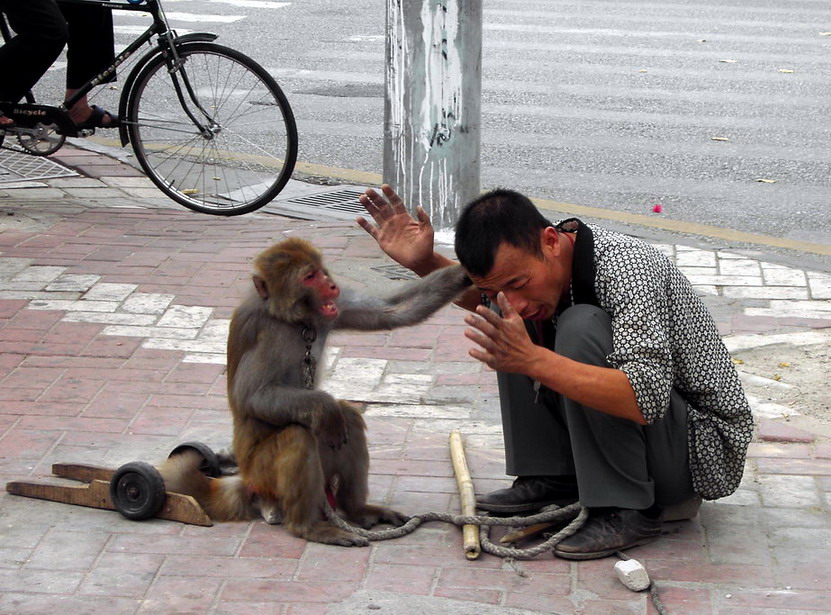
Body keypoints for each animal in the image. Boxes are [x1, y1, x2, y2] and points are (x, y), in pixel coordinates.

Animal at [159, 238, 472, 548]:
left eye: (321, 271)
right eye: (309, 277)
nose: (332, 285)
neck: (292, 321)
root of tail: (248, 481)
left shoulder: (332, 311)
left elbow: (392, 310)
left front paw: (462, 270)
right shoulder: (265, 333)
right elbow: (253, 396)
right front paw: (324, 406)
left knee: (349, 420)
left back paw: (355, 509)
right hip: (264, 474)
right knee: (300, 436)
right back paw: (308, 526)